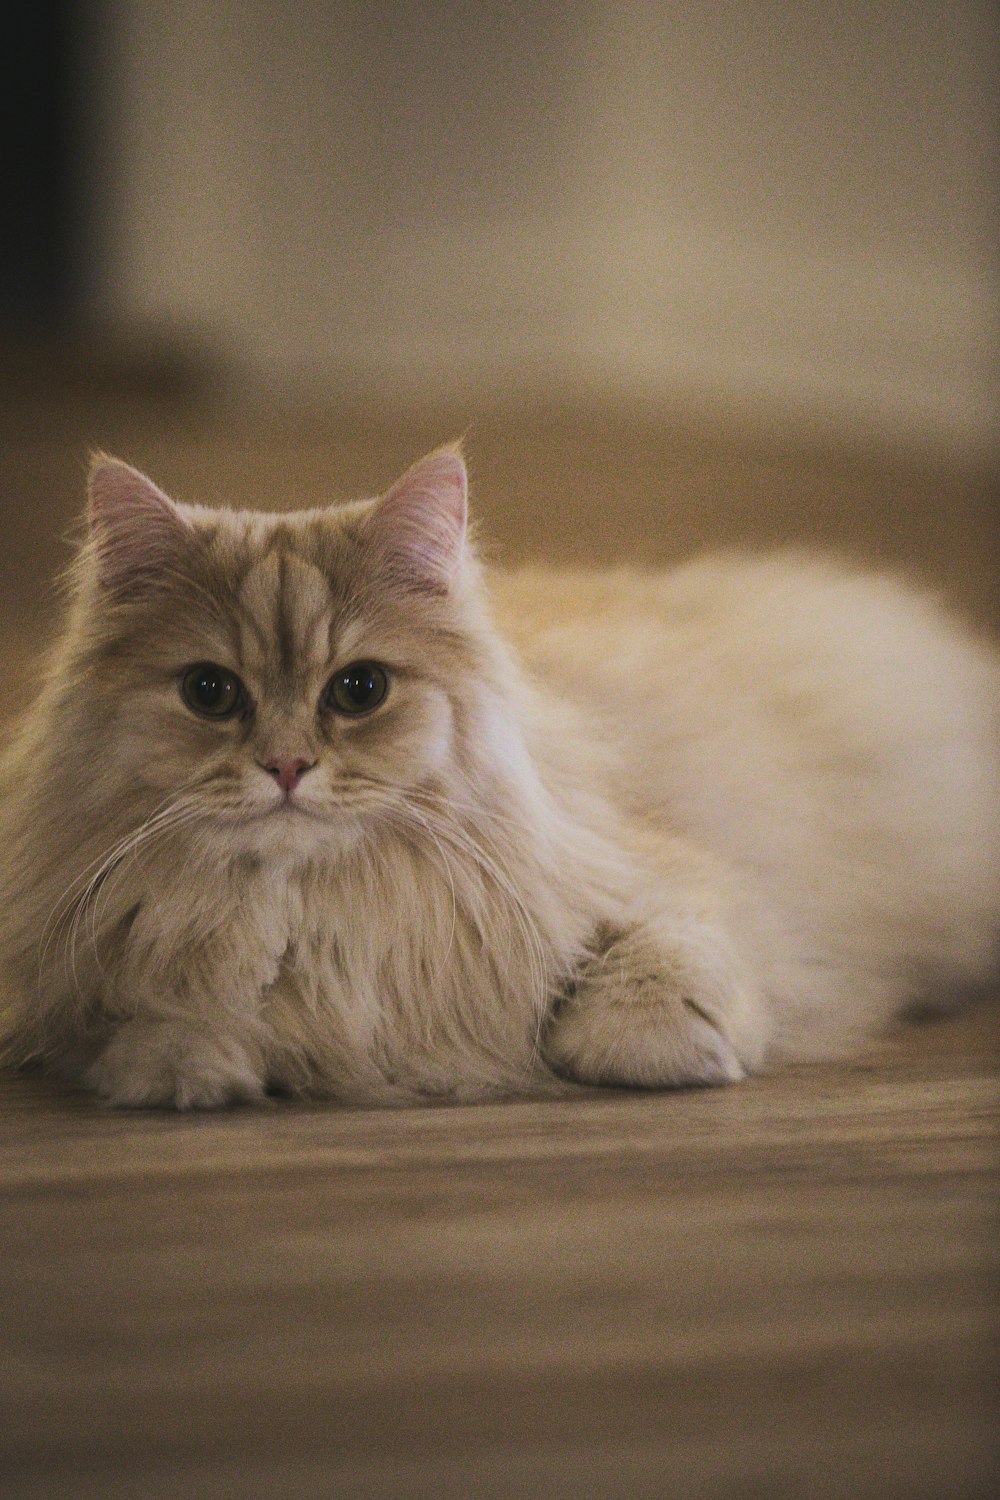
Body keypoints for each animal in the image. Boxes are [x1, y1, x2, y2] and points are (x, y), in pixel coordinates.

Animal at [0, 441, 995, 1104]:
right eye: (211, 693)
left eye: (359, 690)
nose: (287, 765)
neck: (315, 911)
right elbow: (151, 1023)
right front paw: (194, 1064)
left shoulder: (693, 891)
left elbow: (656, 971)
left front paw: (649, 1047)